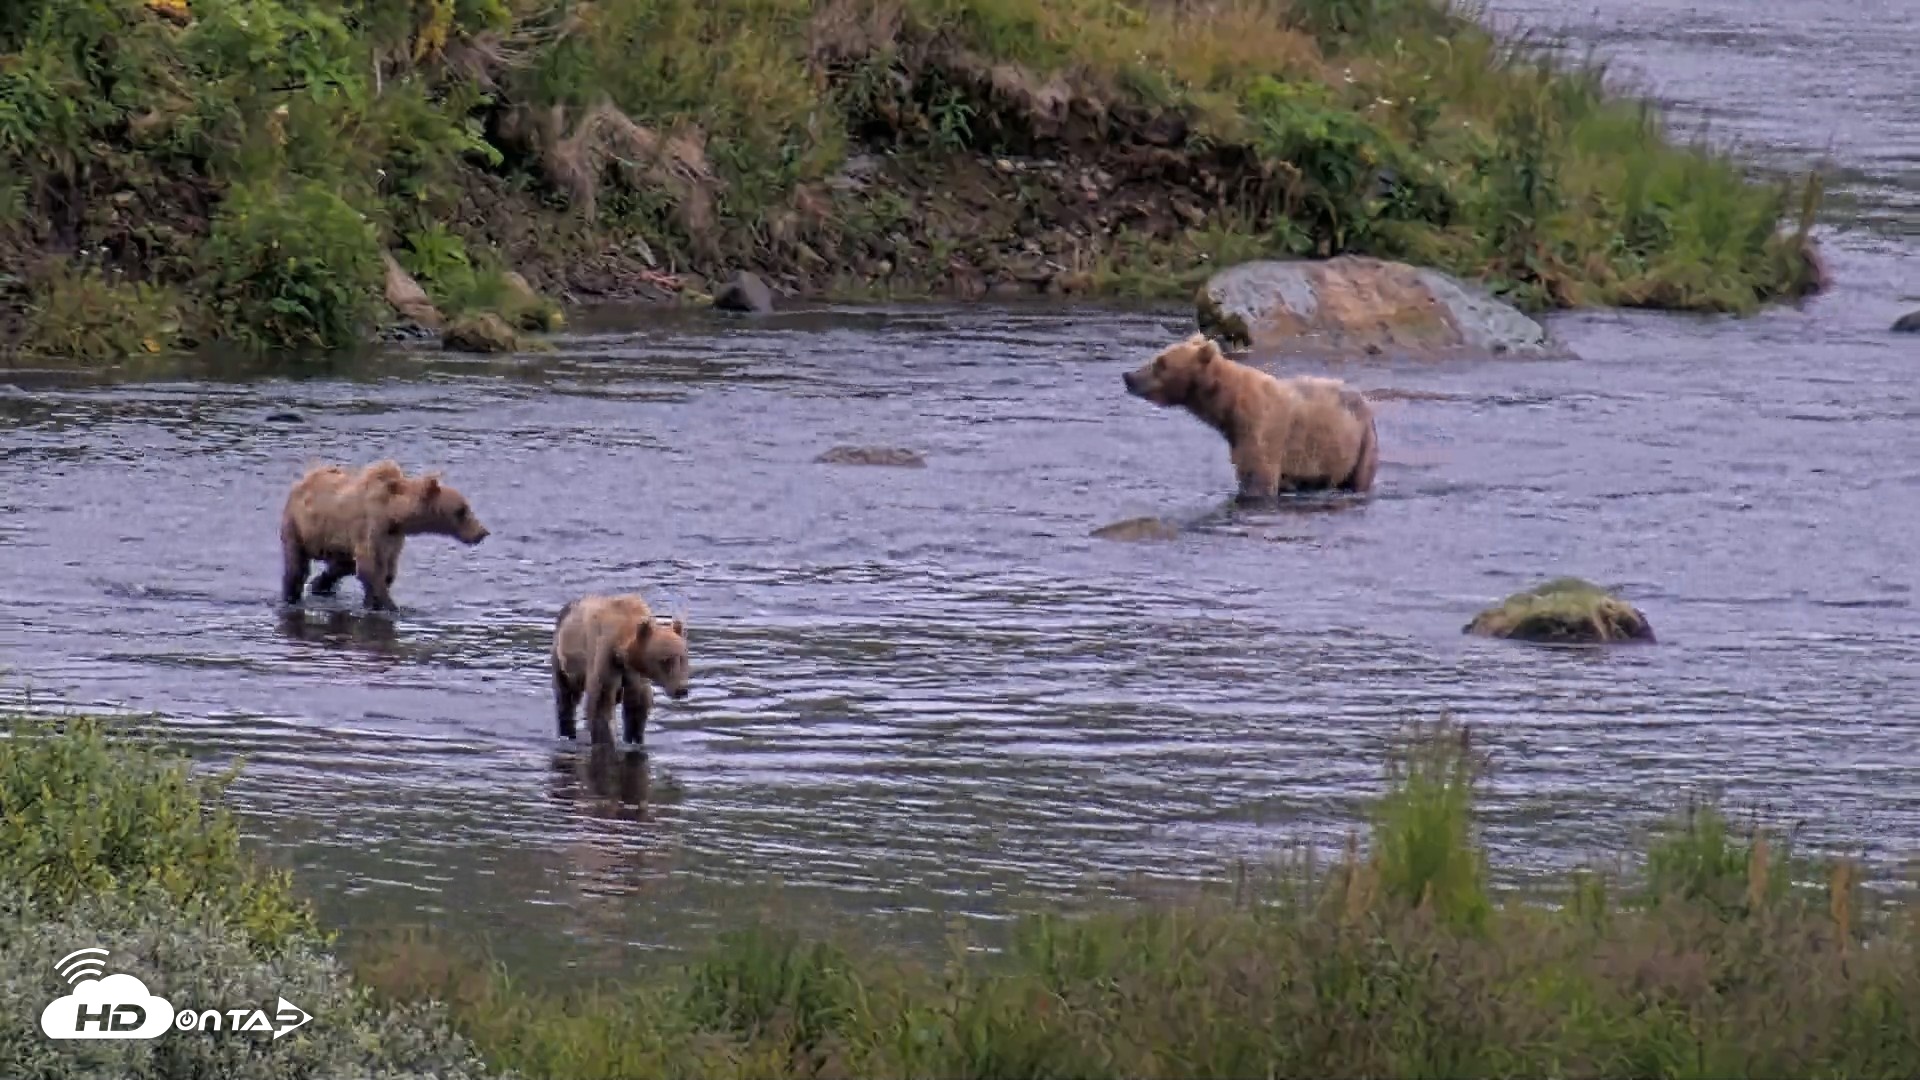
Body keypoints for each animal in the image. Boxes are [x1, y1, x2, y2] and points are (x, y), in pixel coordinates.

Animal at [279, 459, 490, 611]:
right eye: (461, 510)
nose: (482, 532)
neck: (393, 515)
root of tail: (303, 480)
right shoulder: (370, 528)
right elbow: (370, 568)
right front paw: (392, 607)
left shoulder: (392, 539)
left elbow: (385, 571)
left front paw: (372, 601)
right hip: (298, 526)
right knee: (296, 565)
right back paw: (292, 596)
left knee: (342, 564)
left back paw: (320, 584)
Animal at [550, 594, 691, 747]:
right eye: (665, 660)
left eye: (683, 658)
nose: (681, 690)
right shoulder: (605, 658)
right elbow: (601, 704)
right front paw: (606, 741)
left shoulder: (635, 674)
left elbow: (637, 705)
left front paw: (634, 739)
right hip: (564, 661)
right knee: (566, 697)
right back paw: (567, 732)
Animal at [1122, 331, 1379, 502]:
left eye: (1161, 363)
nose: (1128, 376)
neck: (1229, 407)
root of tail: (1364, 399)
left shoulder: (1260, 433)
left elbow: (1258, 480)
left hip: (1361, 444)